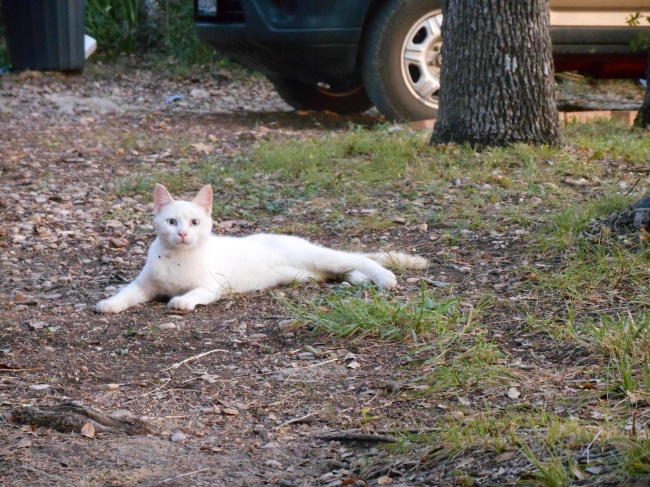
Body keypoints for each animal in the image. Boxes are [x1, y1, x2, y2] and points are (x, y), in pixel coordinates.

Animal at [96, 185, 428, 314]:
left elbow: (195, 293)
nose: (182, 233)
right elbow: (127, 292)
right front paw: (110, 304)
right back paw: (359, 280)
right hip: (310, 271)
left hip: (316, 255)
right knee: (341, 271)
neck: (177, 258)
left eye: (195, 222)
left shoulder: (213, 286)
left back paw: (384, 278)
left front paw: (181, 301)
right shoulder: (144, 286)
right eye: (171, 221)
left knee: (357, 258)